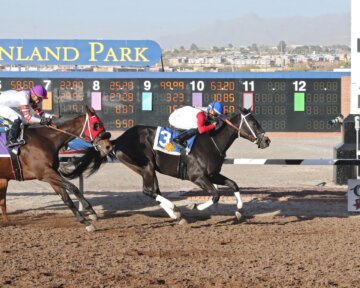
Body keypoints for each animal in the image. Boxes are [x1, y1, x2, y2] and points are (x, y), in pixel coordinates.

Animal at [66, 108, 272, 223]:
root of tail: (118, 140)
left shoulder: (213, 174)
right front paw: (196, 207)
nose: (267, 140)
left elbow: (234, 185)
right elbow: (215, 195)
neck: (212, 141)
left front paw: (239, 211)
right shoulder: (198, 177)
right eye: (253, 122)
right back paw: (175, 211)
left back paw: (176, 214)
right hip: (145, 166)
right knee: (148, 191)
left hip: (148, 169)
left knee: (154, 191)